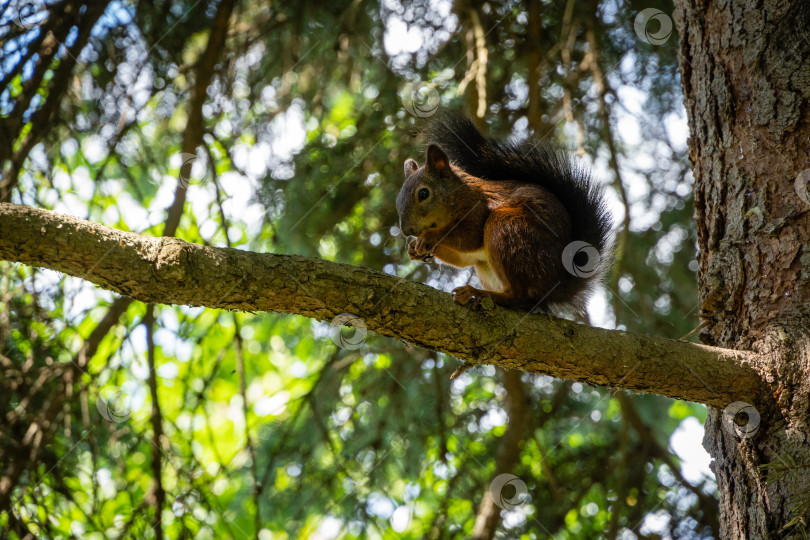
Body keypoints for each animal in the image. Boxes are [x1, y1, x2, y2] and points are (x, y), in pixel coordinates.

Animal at [394, 113, 608, 316]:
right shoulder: (470, 255)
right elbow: (463, 259)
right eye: (398, 200)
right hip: (486, 265)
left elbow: (468, 237)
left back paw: (479, 293)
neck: (459, 193)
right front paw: (414, 248)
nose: (406, 231)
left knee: (519, 296)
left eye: (423, 193)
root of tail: (554, 286)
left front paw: (429, 237)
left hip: (507, 228)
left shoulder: (477, 207)